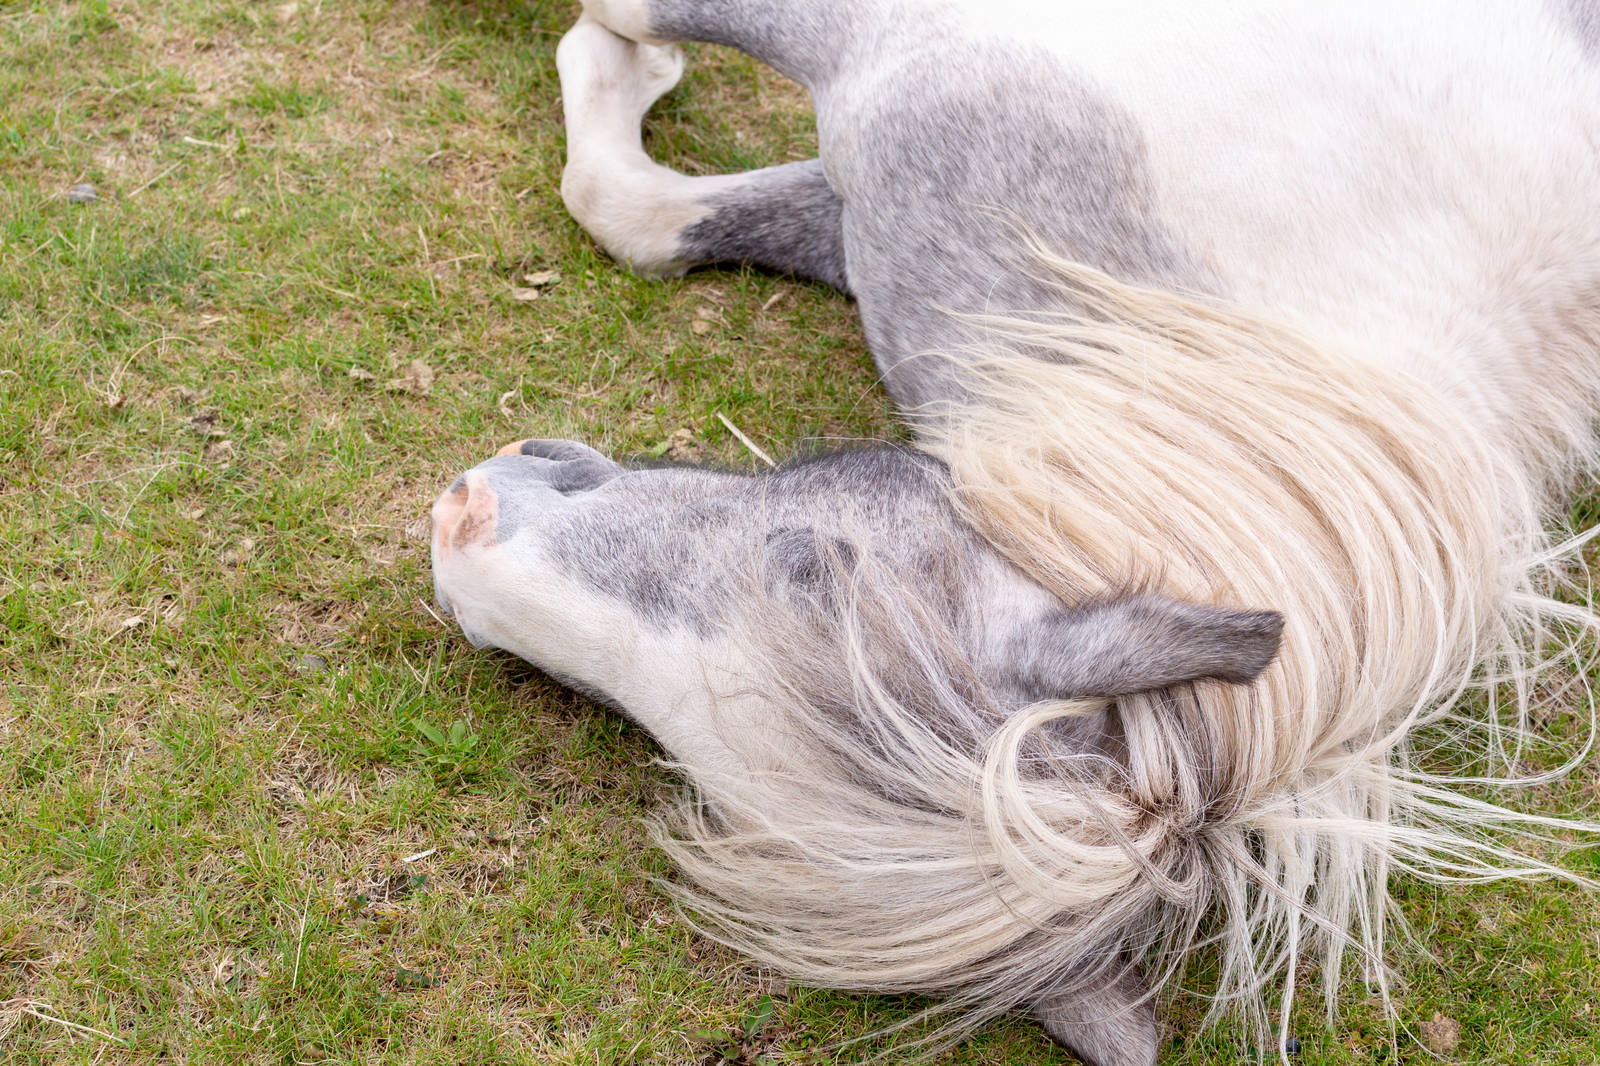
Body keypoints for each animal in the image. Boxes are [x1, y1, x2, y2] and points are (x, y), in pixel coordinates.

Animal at [429, 2, 1600, 1062]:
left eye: (805, 570)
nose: (457, 525)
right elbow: (639, 205)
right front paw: (628, 66)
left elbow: (633, 103)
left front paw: (619, 56)